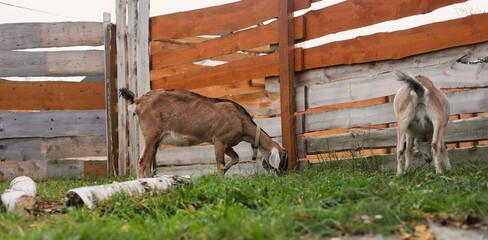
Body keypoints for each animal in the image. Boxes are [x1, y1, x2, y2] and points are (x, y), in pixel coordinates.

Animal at [119, 87, 288, 177]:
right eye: (282, 158)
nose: (282, 175)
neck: (241, 121)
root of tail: (138, 101)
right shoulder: (219, 140)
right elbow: (220, 164)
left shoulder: (225, 144)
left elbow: (236, 158)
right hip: (151, 134)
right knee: (141, 162)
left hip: (155, 140)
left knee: (146, 163)